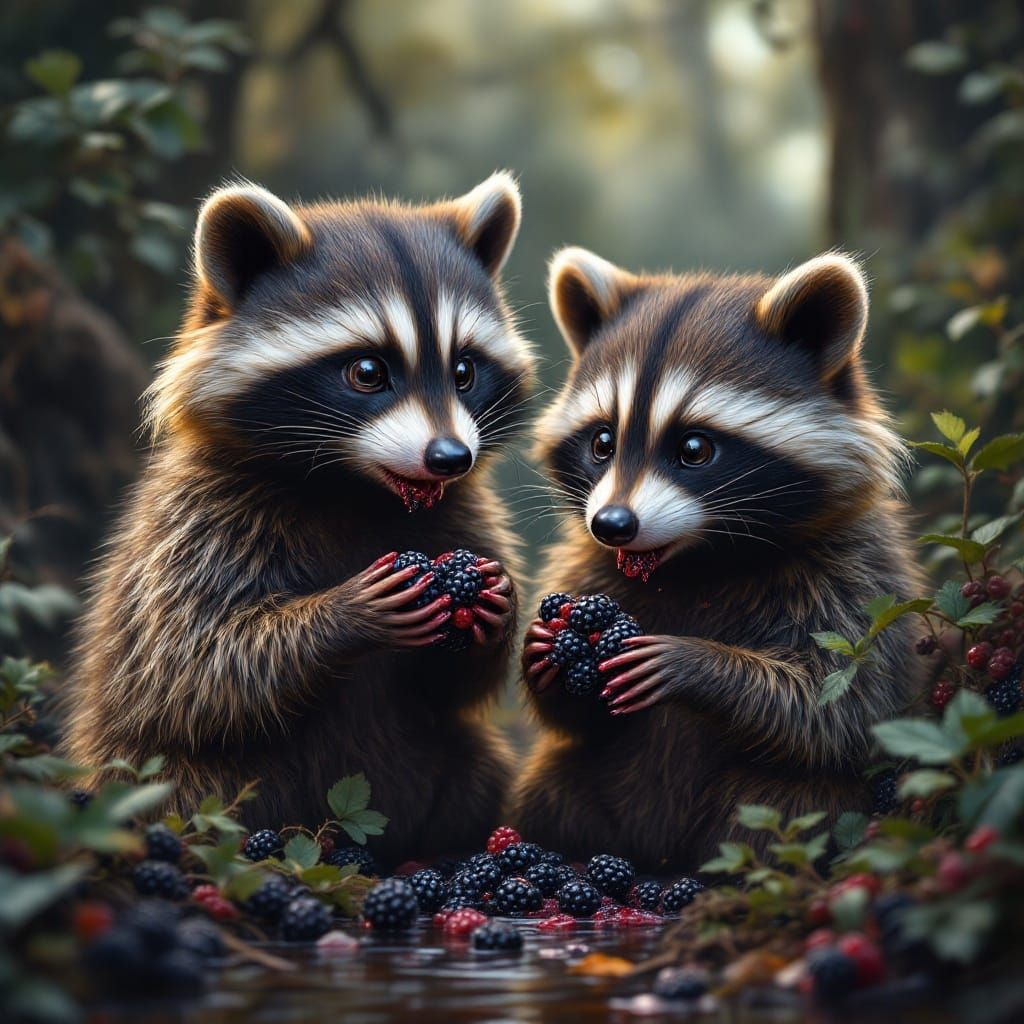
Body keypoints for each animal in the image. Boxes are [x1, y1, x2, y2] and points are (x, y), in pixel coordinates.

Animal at [64, 173, 534, 861]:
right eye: (367, 372)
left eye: (465, 370)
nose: (450, 457)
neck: (359, 490)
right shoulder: (200, 521)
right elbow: (192, 664)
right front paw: (343, 613)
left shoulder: (465, 514)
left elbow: (452, 687)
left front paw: (495, 609)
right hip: (154, 778)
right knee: (186, 786)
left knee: (475, 766)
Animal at [510, 247, 922, 870]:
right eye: (602, 443)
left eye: (694, 449)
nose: (612, 525)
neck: (695, 562)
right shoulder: (586, 565)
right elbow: (577, 720)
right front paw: (545, 657)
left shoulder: (856, 574)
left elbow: (838, 703)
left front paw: (696, 663)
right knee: (552, 789)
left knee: (789, 804)